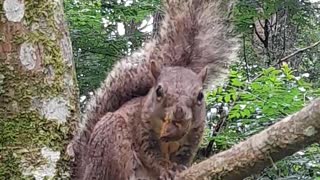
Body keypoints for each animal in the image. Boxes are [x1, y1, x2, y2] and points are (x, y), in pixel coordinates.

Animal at [69, 0, 240, 179]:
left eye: (200, 96)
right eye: (158, 91)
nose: (179, 112)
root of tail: (85, 169)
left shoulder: (194, 134)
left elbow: (183, 157)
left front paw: (179, 168)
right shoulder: (142, 130)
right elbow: (151, 155)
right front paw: (164, 168)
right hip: (111, 141)